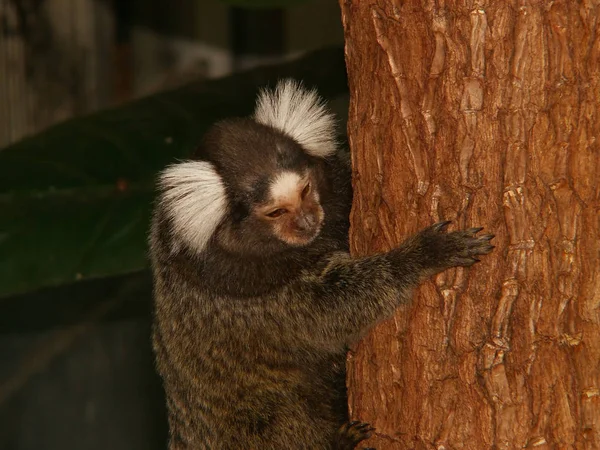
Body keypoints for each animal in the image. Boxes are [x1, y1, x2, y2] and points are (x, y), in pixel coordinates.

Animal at [149, 79, 492, 448]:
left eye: (305, 190)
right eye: (276, 212)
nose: (306, 222)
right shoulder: (255, 299)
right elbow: (336, 309)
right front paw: (422, 255)